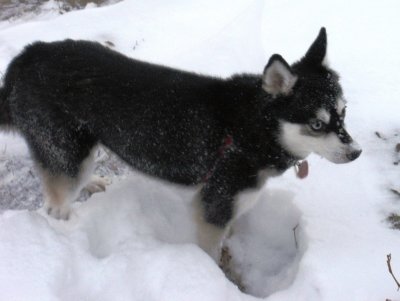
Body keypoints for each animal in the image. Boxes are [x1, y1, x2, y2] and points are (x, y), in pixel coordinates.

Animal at [0, 27, 362, 258]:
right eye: (317, 124)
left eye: (344, 112)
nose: (356, 153)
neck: (248, 127)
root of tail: (28, 55)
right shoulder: (214, 208)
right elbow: (211, 254)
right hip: (67, 151)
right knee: (57, 199)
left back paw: (95, 182)